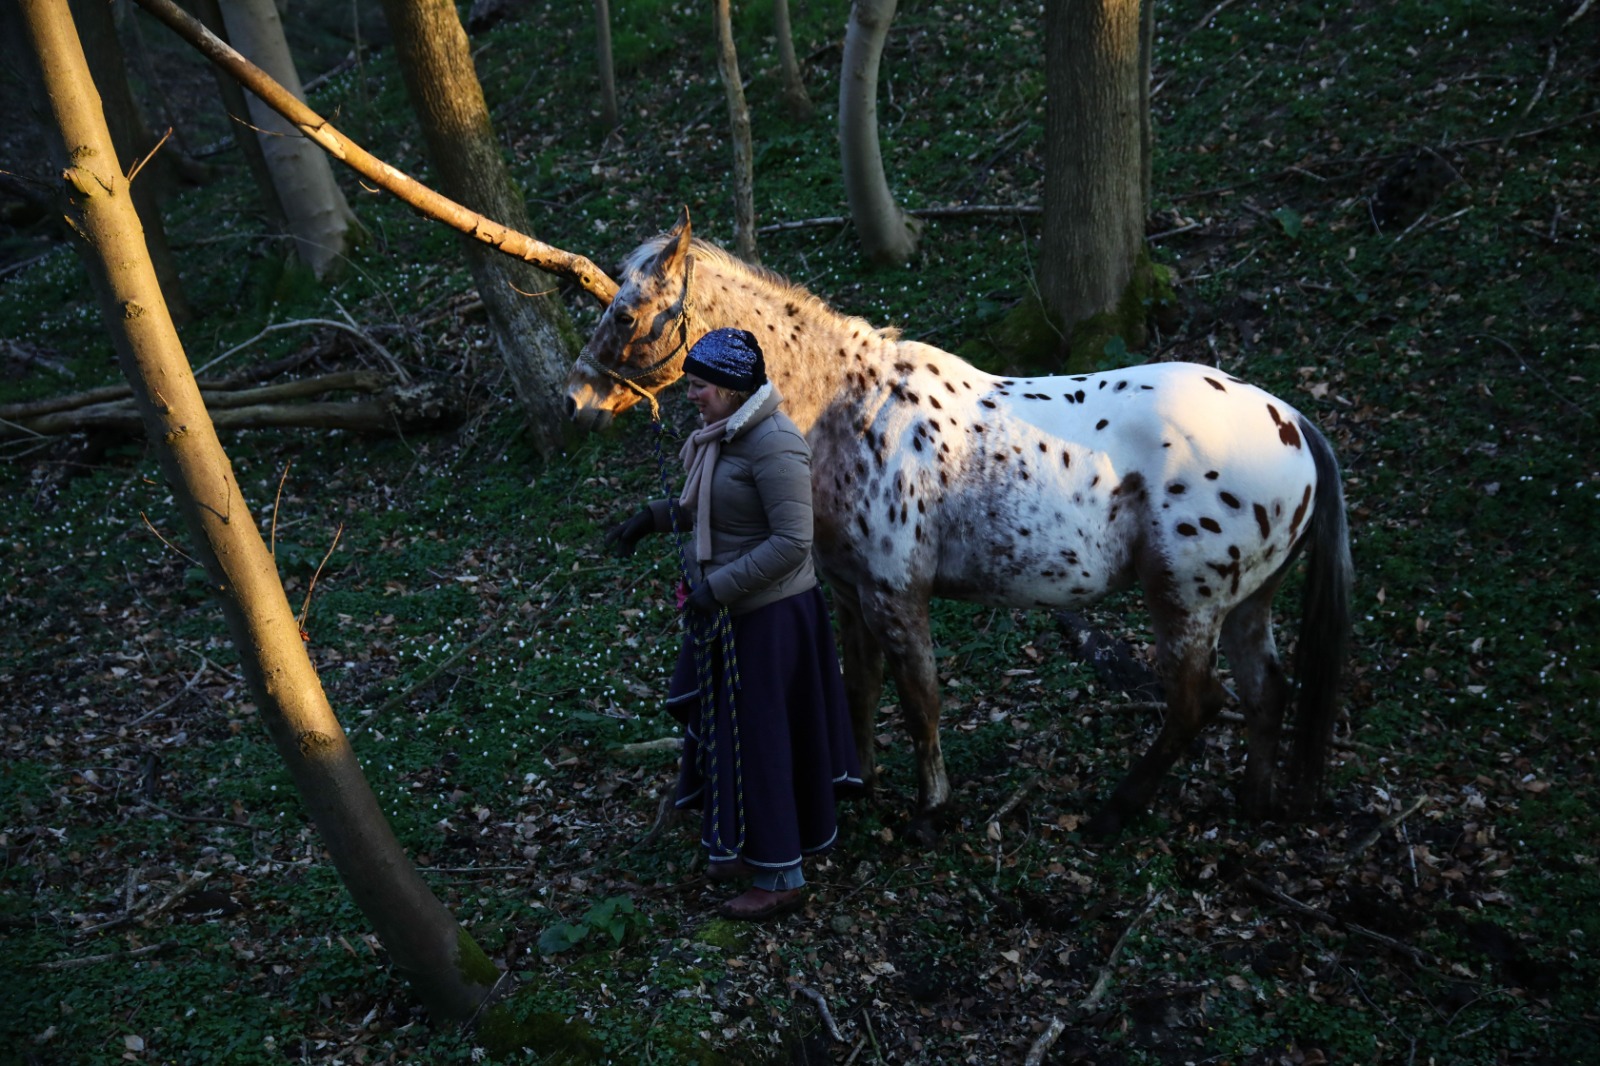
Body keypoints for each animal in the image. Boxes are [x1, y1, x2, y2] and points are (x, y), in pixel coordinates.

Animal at [569, 211, 1356, 832]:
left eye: (626, 314)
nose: (577, 401)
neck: (848, 409)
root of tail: (1290, 421)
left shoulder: (897, 594)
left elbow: (921, 700)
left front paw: (931, 810)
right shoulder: (851, 594)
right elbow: (861, 690)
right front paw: (858, 785)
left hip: (1186, 605)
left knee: (1198, 704)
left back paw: (1115, 810)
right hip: (1248, 603)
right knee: (1266, 691)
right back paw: (1253, 804)